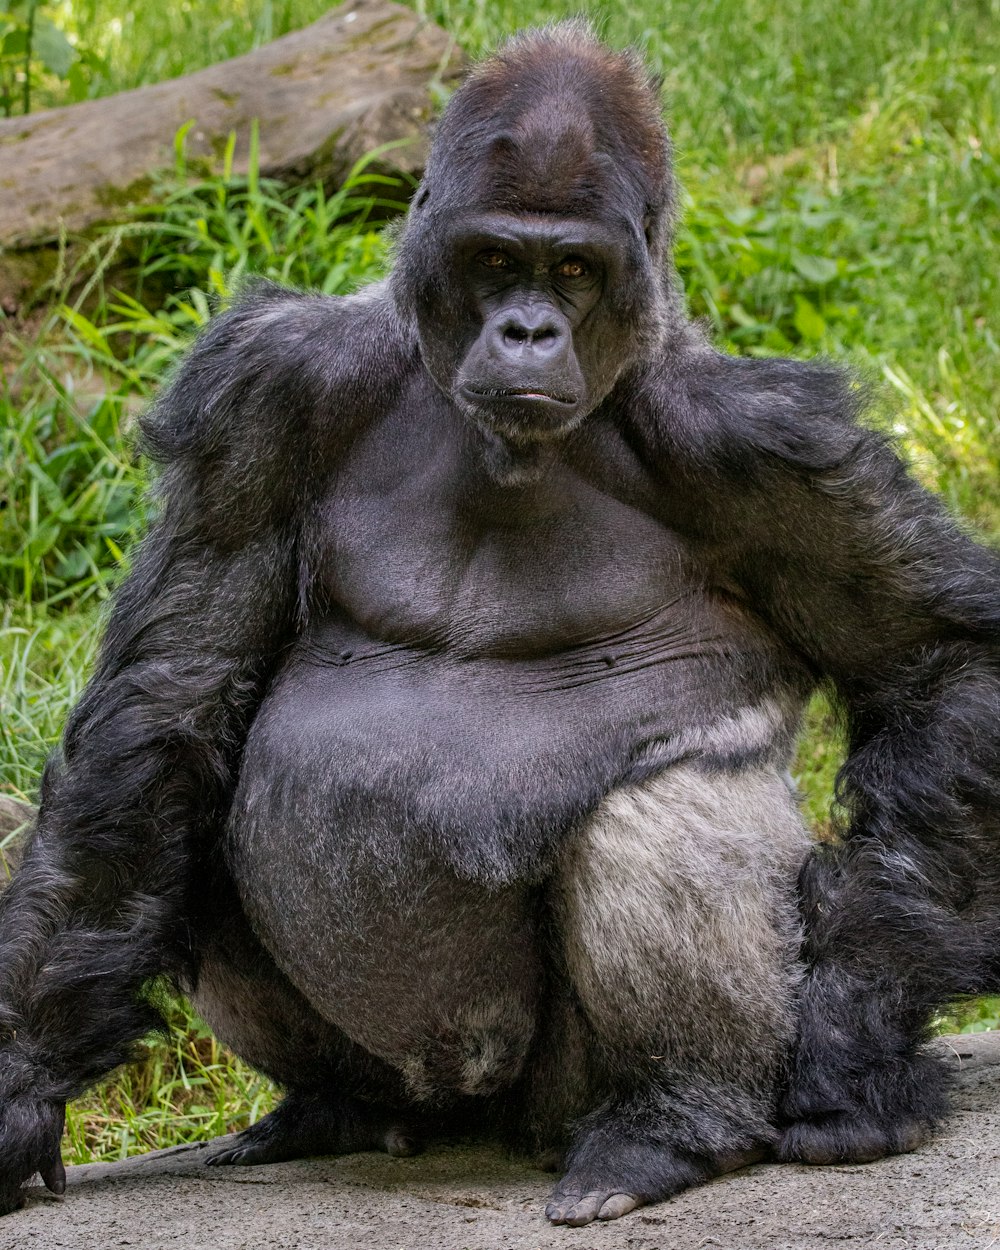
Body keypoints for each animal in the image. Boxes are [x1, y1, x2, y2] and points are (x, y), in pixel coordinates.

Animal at [1, 22, 1000, 1230]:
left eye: (572, 270)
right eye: (493, 262)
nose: (527, 329)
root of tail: (476, 1122)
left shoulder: (762, 438)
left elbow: (937, 662)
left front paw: (851, 1044)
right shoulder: (267, 385)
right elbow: (169, 705)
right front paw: (19, 1078)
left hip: (551, 1098)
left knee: (654, 809)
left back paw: (671, 1123)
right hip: (424, 1089)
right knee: (188, 795)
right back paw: (335, 1108)